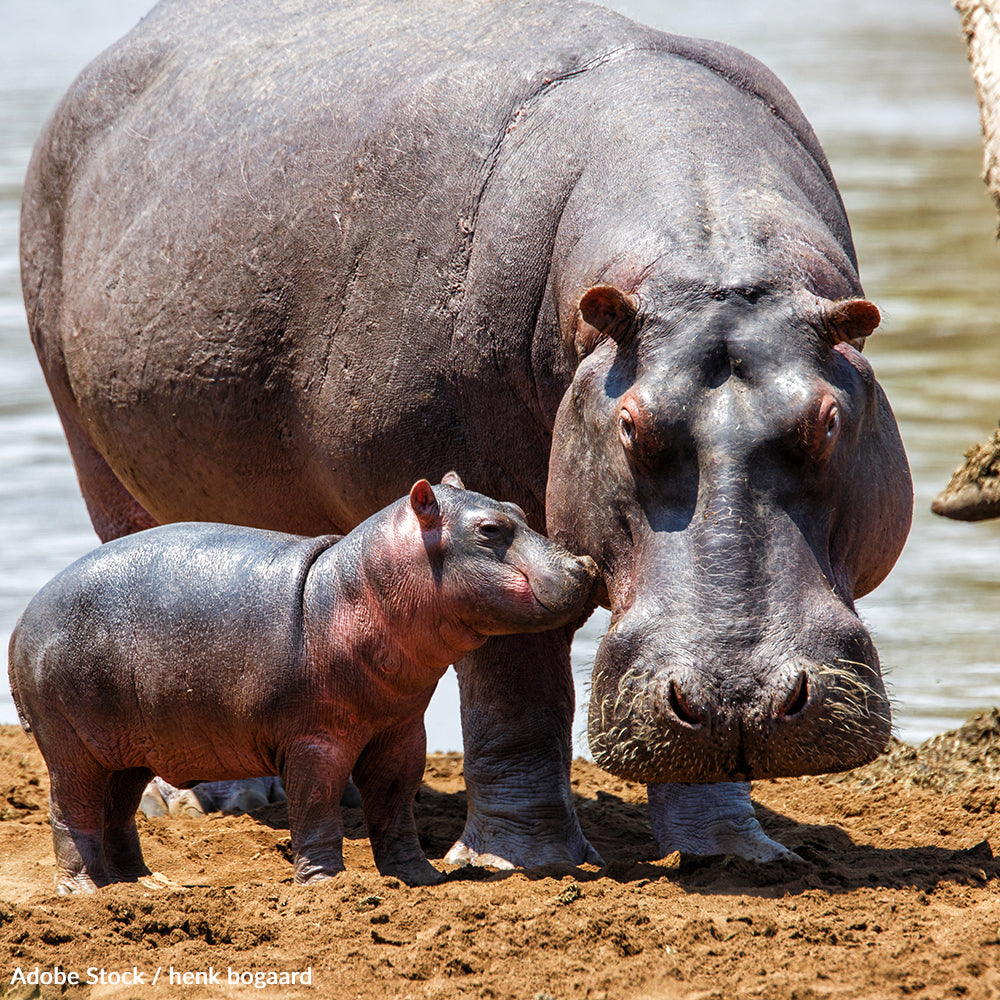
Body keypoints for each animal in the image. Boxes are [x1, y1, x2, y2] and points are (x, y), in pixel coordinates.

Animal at [9, 472, 592, 896]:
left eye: (520, 511)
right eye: (490, 529)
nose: (583, 562)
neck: (357, 588)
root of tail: (21, 621)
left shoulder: (401, 731)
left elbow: (395, 806)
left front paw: (419, 877)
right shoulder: (315, 740)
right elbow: (316, 807)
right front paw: (325, 885)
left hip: (128, 749)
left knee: (119, 812)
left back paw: (144, 884)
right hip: (71, 748)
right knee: (71, 812)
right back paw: (84, 892)